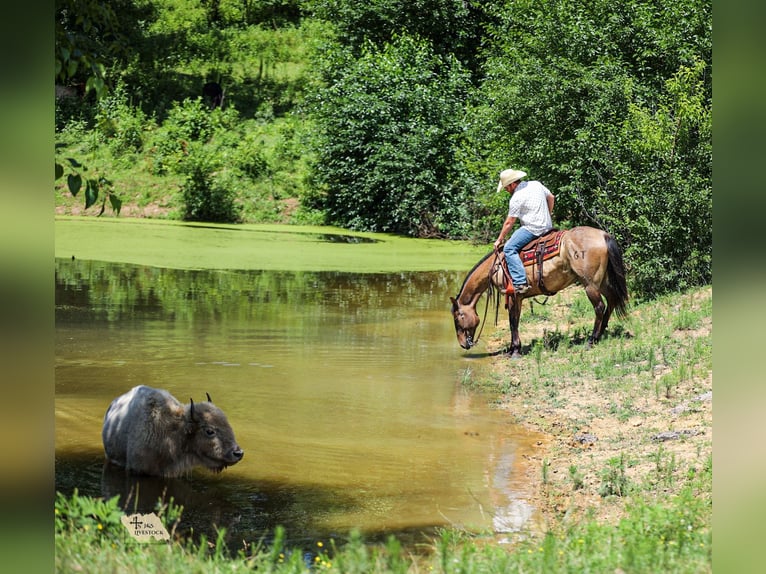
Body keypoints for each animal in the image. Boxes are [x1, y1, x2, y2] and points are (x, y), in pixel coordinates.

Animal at [450, 226, 629, 358]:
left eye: (458, 319)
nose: (463, 344)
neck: (498, 266)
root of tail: (603, 235)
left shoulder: (514, 296)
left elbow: (513, 322)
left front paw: (515, 350)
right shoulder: (517, 298)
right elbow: (514, 320)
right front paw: (512, 349)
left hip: (590, 285)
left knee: (599, 307)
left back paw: (591, 340)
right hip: (602, 281)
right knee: (612, 300)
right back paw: (601, 334)